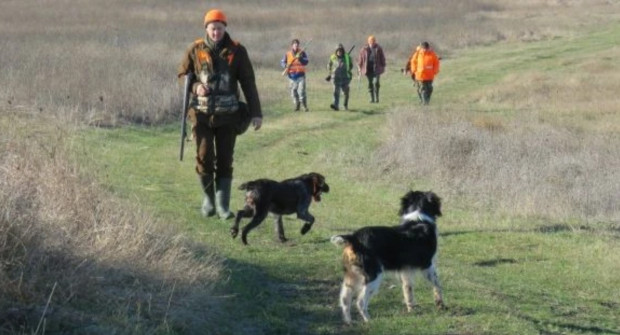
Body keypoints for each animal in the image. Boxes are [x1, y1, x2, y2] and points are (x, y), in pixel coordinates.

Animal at [332, 192, 444, 326]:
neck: (418, 219)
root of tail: (354, 237)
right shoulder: (428, 265)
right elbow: (437, 284)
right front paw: (440, 304)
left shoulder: (405, 270)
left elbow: (408, 290)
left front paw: (411, 309)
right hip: (373, 275)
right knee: (360, 301)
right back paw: (369, 320)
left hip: (352, 275)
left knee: (345, 299)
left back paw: (349, 322)